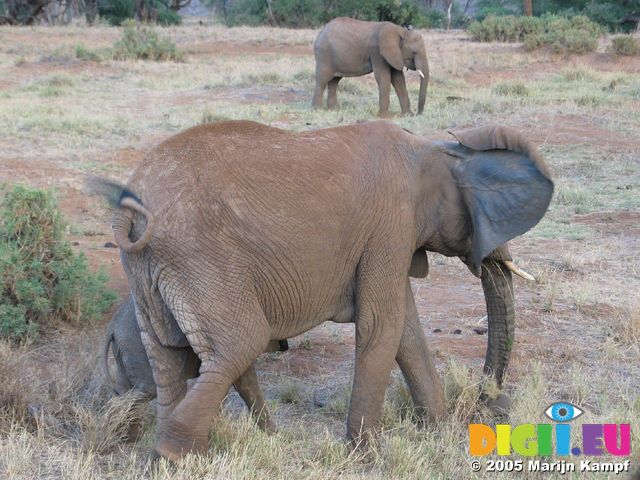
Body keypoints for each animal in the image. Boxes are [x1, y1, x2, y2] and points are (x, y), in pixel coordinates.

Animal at [102, 296, 288, 436]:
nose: (284, 346)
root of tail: (112, 326)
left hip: (123, 352)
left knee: (125, 389)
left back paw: (126, 435)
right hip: (137, 348)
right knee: (144, 390)